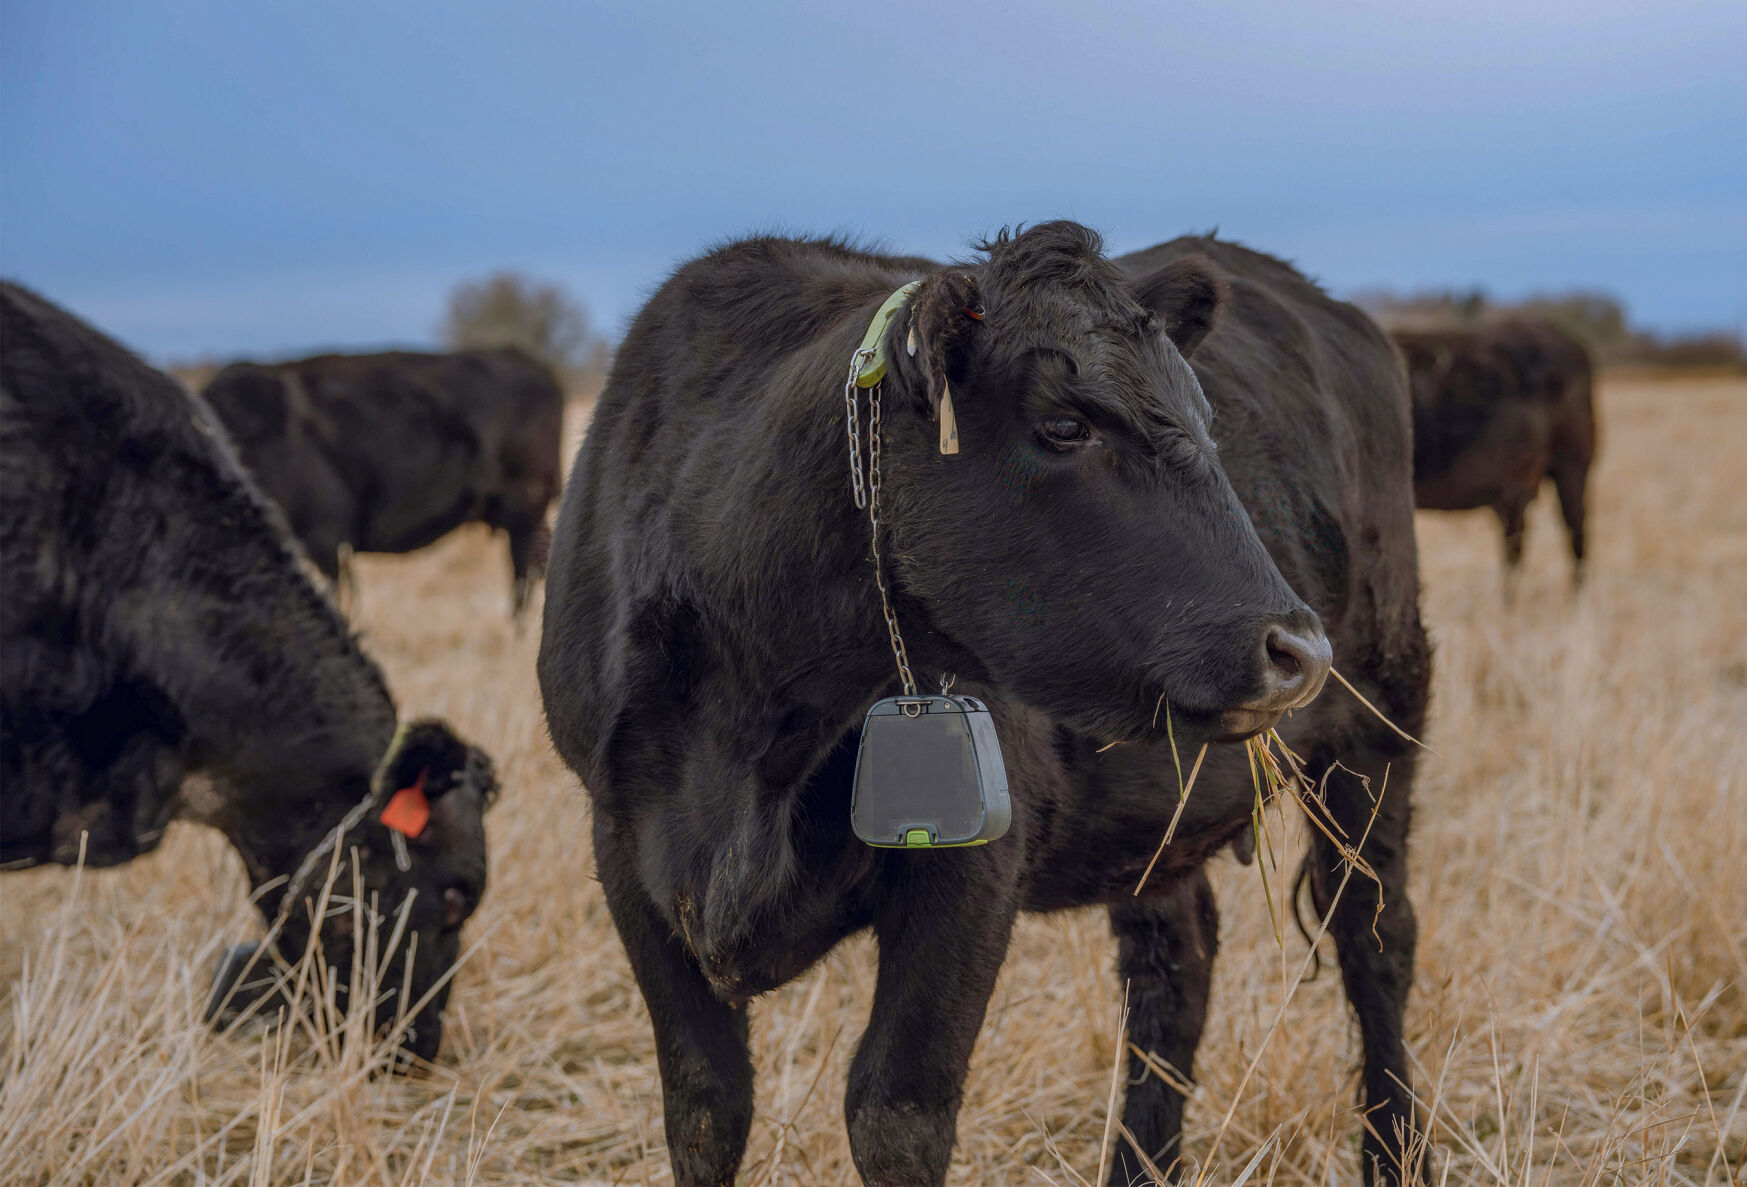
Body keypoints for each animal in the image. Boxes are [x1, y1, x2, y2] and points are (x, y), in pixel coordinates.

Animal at [538, 223, 1430, 1186]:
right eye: (1066, 424)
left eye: (1205, 422)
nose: (1297, 650)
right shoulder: (625, 847)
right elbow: (705, 1108)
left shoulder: (972, 866)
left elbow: (895, 1112)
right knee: (1173, 965)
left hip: (1381, 721)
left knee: (1375, 936)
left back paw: (1396, 1153)